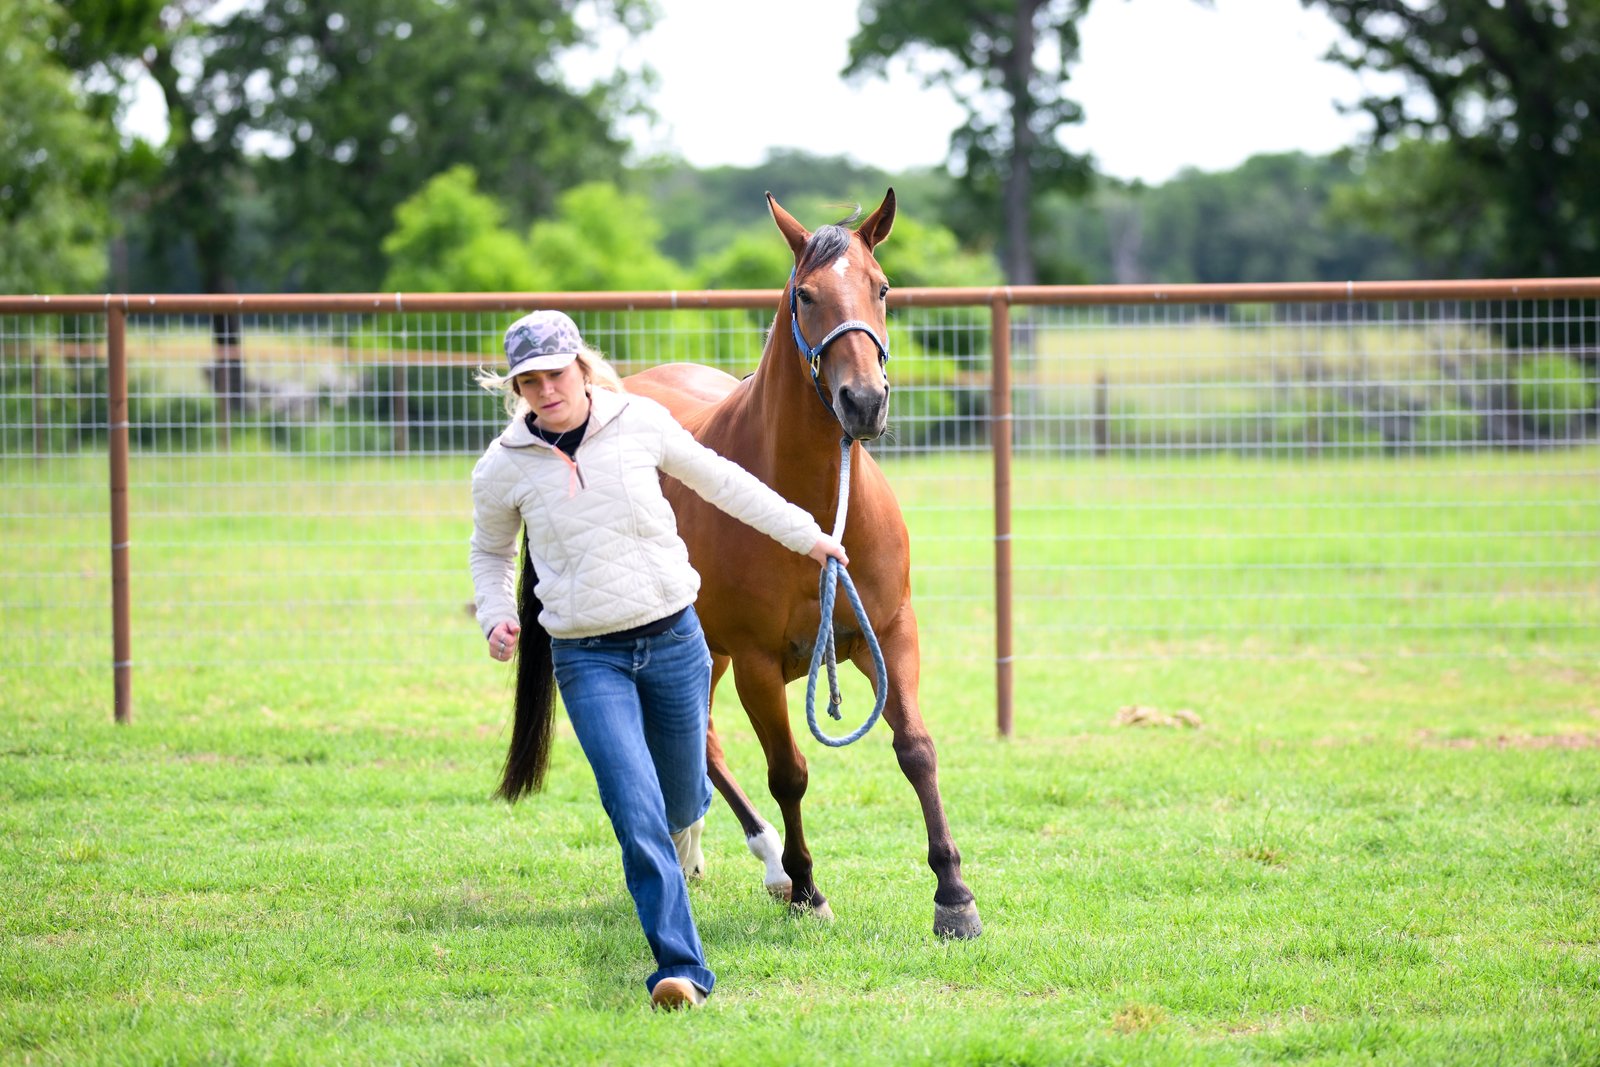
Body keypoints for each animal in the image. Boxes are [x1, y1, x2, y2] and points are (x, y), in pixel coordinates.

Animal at [622, 189, 982, 940]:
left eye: (882, 287)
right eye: (805, 294)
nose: (864, 401)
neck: (814, 506)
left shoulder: (888, 634)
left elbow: (917, 749)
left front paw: (954, 895)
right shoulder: (759, 662)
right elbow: (788, 771)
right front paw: (808, 887)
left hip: (707, 653)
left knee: (695, 741)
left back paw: (698, 851)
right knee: (701, 747)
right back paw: (770, 866)